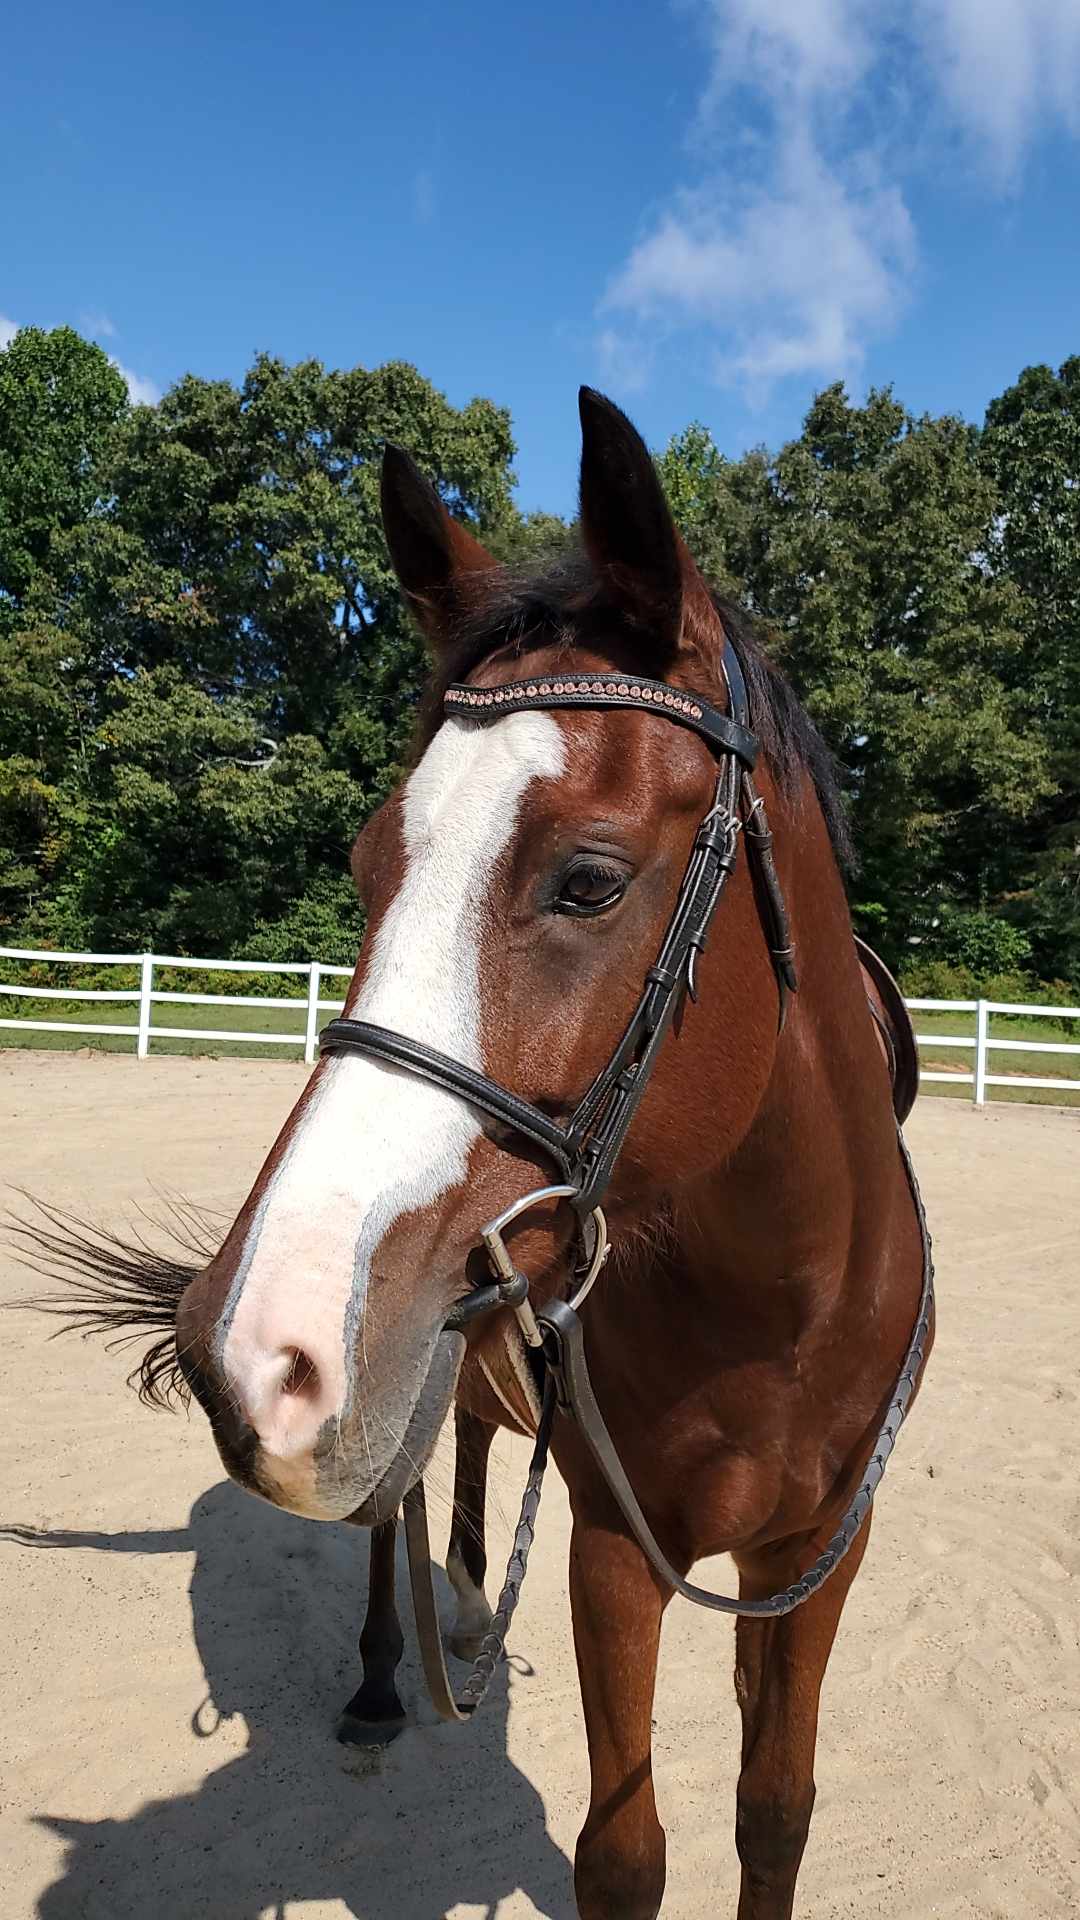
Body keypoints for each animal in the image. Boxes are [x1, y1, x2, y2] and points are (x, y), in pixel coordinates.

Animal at [16, 389, 926, 1920]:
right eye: (369, 866)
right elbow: (624, 1856)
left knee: (469, 1455)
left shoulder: (816, 1557)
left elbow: (776, 1809)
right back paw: (389, 1677)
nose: (242, 1347)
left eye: (591, 880)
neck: (783, 1308)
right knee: (394, 1510)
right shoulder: (617, 1552)